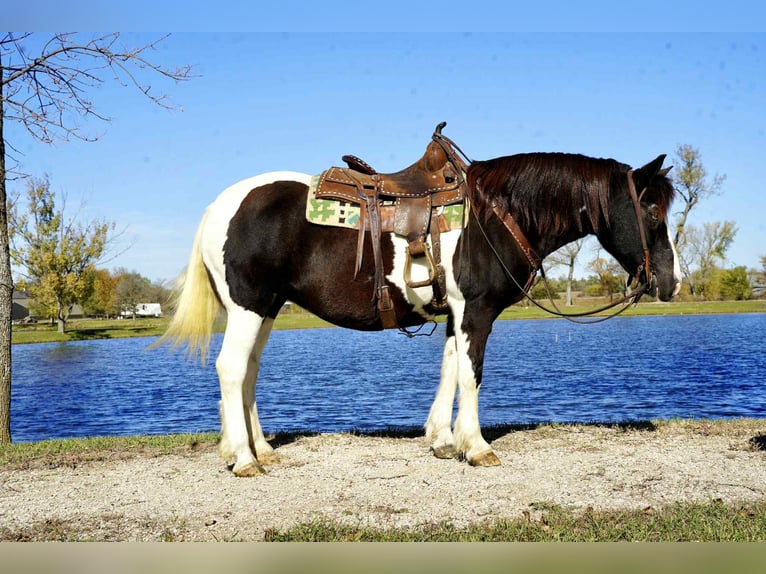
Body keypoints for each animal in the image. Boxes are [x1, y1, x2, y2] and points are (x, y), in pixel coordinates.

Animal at [160, 136, 681, 477]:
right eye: (653, 210)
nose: (671, 281)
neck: (497, 215)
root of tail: (219, 205)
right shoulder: (476, 311)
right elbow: (471, 374)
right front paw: (476, 446)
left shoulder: (456, 314)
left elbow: (449, 369)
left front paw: (443, 439)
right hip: (248, 307)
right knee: (231, 369)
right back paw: (245, 459)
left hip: (265, 308)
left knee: (248, 371)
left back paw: (259, 449)